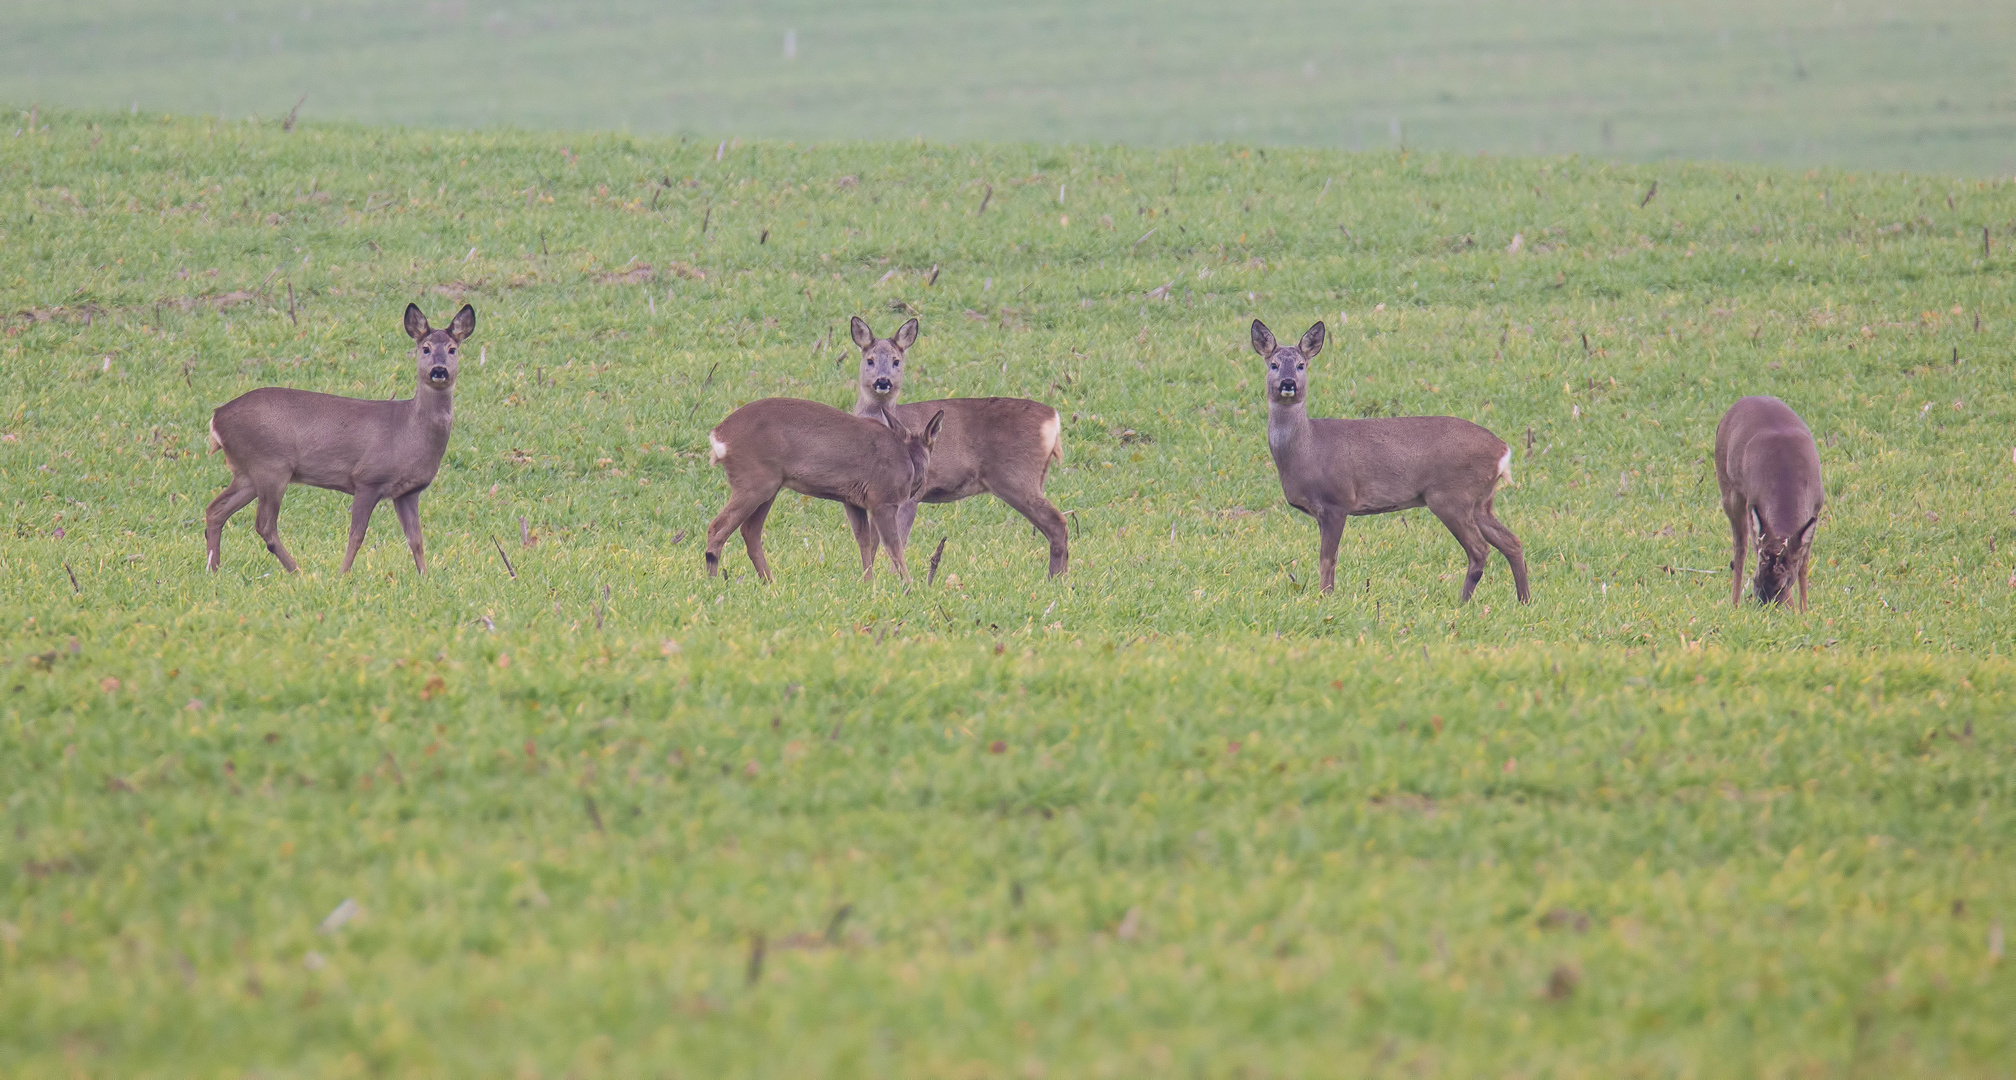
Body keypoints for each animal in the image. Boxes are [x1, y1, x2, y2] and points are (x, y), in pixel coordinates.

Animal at [204, 304, 471, 572]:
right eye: (425, 348)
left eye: (453, 349)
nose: (439, 370)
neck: (410, 431)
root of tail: (217, 417)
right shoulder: (367, 479)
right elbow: (357, 535)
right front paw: (343, 573)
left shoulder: (408, 492)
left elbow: (416, 539)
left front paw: (424, 575)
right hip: (270, 466)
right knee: (264, 525)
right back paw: (297, 571)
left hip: (247, 472)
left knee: (216, 510)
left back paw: (214, 569)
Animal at [701, 396, 943, 580]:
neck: (909, 459)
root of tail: (718, 435)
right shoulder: (883, 499)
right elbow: (893, 546)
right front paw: (908, 585)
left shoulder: (852, 500)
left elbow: (865, 541)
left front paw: (868, 584)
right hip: (754, 481)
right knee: (717, 526)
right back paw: (713, 580)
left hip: (769, 487)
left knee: (749, 531)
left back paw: (770, 583)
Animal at [850, 316, 1072, 576]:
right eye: (870, 359)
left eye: (896, 361)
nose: (883, 381)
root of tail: (1053, 418)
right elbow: (873, 541)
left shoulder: (912, 494)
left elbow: (897, 541)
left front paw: (893, 579)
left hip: (1016, 476)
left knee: (1057, 523)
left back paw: (1056, 578)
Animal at [1249, 320, 1532, 608]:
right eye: (1273, 364)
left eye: (1301, 365)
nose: (1288, 383)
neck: (1306, 451)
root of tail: (1503, 450)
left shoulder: (1336, 502)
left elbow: (1327, 559)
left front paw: (1325, 598)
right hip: (1481, 501)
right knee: (1512, 541)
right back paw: (1524, 600)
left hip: (1451, 496)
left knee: (1479, 549)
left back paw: (1463, 602)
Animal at [1717, 394, 1830, 608]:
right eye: (1755, 580)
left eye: (1783, 585)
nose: (1765, 606)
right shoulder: (1753, 503)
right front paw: (1793, 608)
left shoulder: (1815, 509)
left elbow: (1803, 564)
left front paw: (1804, 610)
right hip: (1728, 487)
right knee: (1740, 547)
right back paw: (1734, 603)